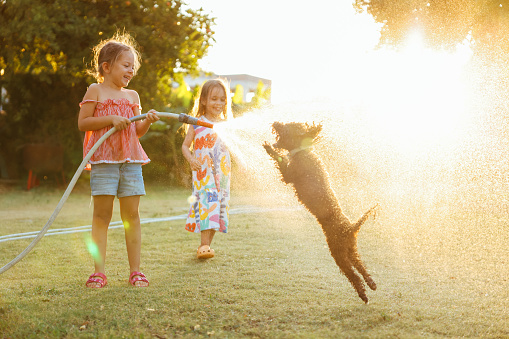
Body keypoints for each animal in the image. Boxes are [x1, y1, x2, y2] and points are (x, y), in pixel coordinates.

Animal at [264, 121, 380, 302]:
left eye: (288, 126)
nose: (275, 122)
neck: (303, 152)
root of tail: (350, 228)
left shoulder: (290, 174)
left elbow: (280, 161)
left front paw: (269, 148)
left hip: (338, 253)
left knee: (352, 275)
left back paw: (363, 294)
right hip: (350, 250)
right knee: (360, 266)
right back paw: (371, 283)